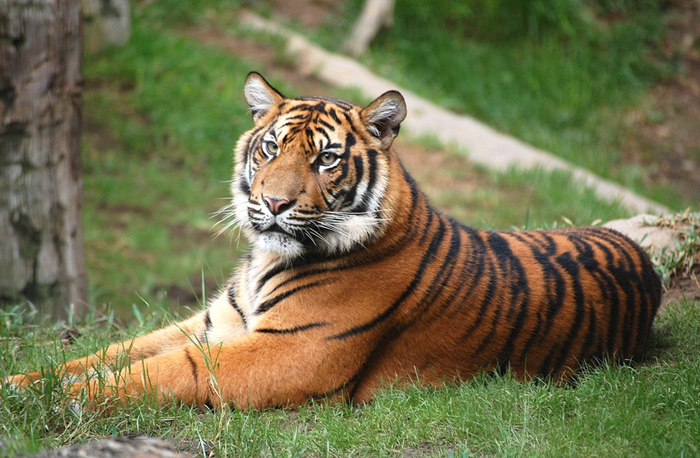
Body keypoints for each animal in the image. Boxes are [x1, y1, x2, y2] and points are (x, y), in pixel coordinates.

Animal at [6, 72, 662, 410]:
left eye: (325, 159)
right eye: (271, 147)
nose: (273, 203)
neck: (265, 259)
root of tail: (643, 258)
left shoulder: (291, 351)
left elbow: (156, 373)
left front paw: (51, 401)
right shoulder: (215, 322)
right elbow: (111, 353)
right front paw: (25, 384)